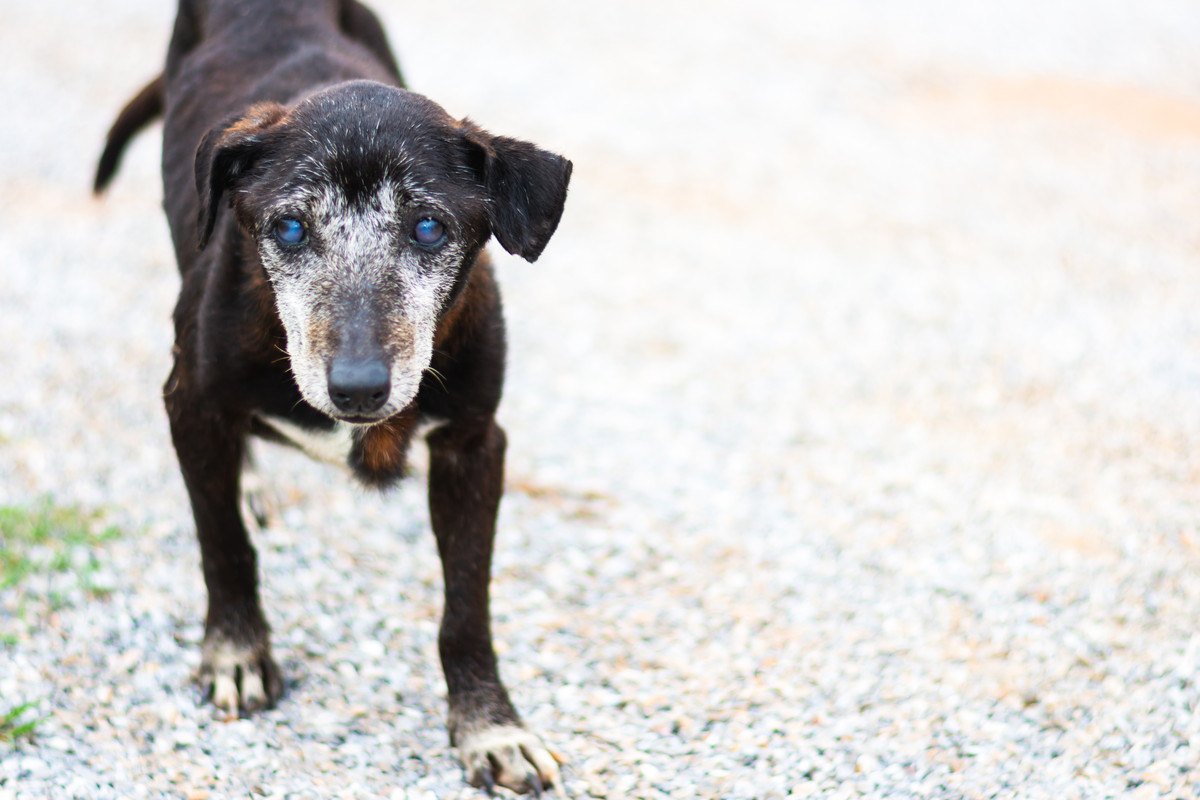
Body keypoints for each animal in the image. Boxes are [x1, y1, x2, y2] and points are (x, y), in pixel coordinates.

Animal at [93, 0, 571, 791]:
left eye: (429, 226)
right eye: (289, 227)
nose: (357, 387)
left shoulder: (475, 443)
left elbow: (466, 606)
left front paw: (490, 726)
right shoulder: (190, 404)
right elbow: (222, 542)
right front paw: (237, 652)